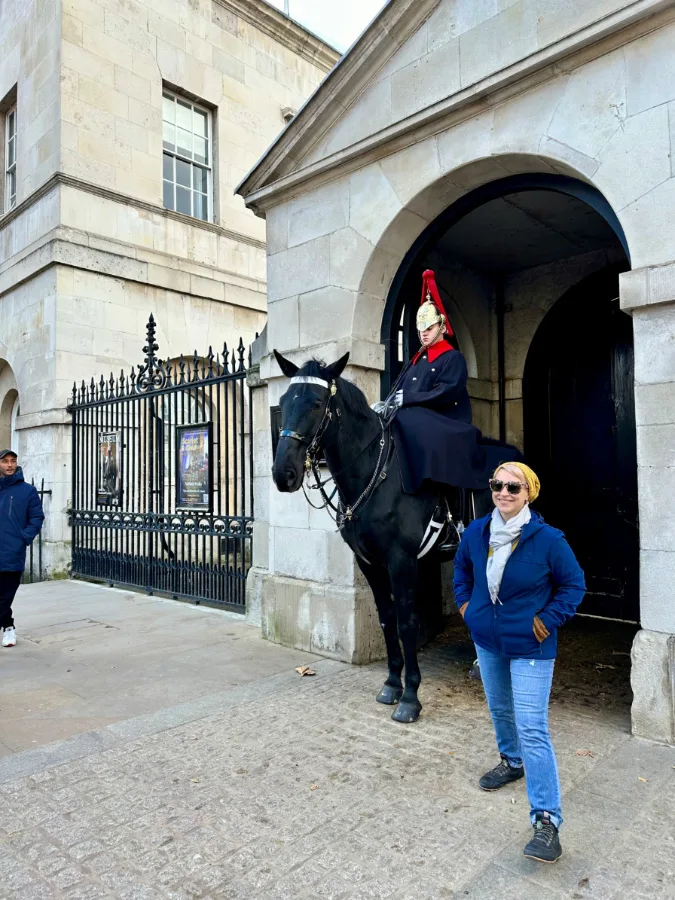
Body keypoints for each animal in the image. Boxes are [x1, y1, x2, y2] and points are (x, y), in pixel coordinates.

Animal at [272, 350, 520, 724]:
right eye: (285, 400)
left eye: (316, 403)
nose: (282, 474)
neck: (373, 476)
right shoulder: (370, 563)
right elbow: (387, 621)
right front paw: (391, 685)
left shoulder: (402, 562)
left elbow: (406, 623)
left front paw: (411, 697)